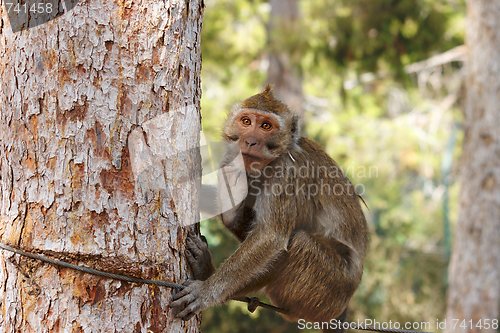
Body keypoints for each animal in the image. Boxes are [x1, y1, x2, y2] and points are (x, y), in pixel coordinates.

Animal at [172, 85, 368, 330]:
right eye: (246, 121)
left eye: (266, 126)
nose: (250, 141)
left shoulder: (286, 173)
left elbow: (271, 237)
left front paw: (206, 292)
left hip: (328, 292)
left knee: (299, 241)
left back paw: (207, 272)